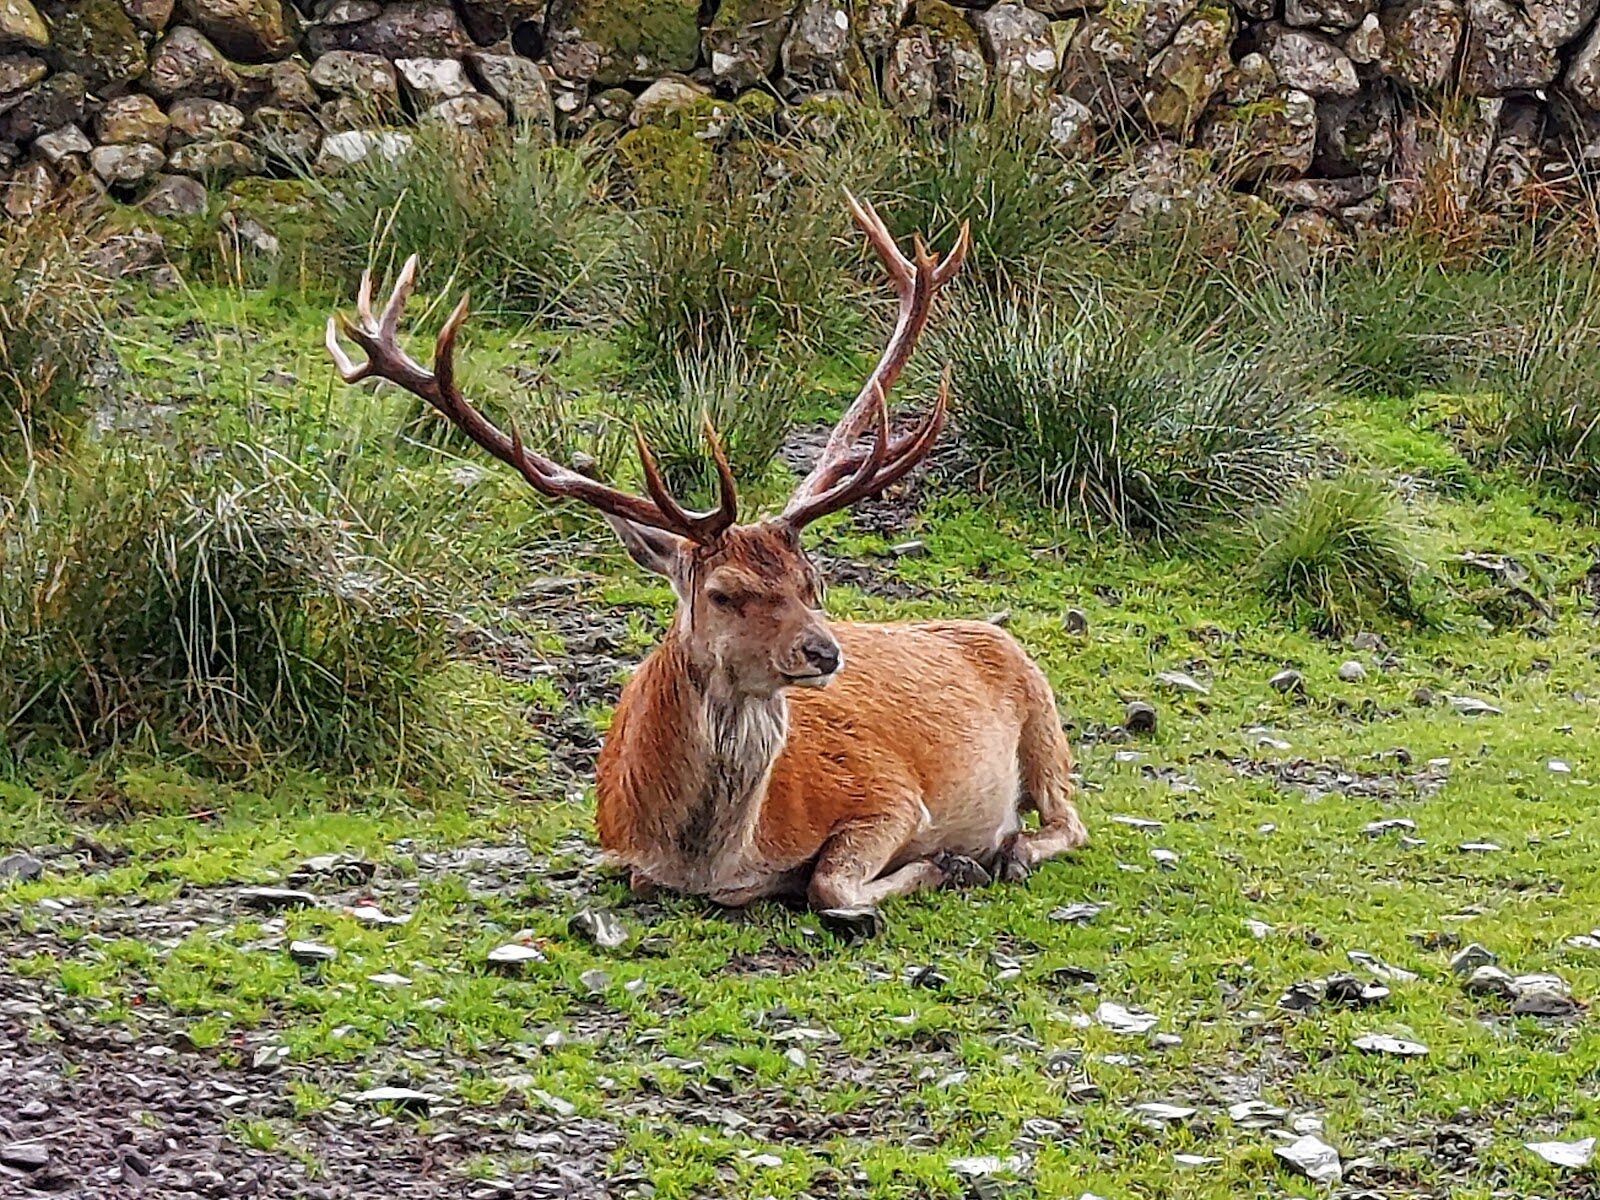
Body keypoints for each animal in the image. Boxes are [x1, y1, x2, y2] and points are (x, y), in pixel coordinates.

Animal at [326, 195, 1088, 924]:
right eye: (724, 592)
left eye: (814, 581)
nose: (825, 652)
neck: (709, 857)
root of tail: (988, 630)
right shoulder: (618, 848)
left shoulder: (890, 794)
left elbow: (829, 885)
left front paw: (951, 863)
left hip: (1043, 712)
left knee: (1068, 819)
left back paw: (1008, 852)